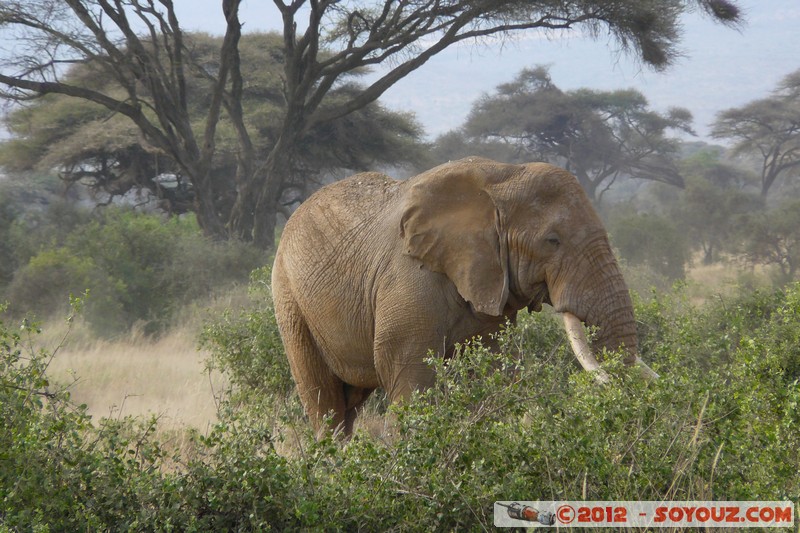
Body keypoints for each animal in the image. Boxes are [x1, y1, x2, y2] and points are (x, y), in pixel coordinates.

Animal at [271, 157, 658, 437]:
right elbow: (408, 371)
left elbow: (488, 369)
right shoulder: (408, 279)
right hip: (288, 297)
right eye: (552, 241)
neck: (501, 177)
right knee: (324, 400)